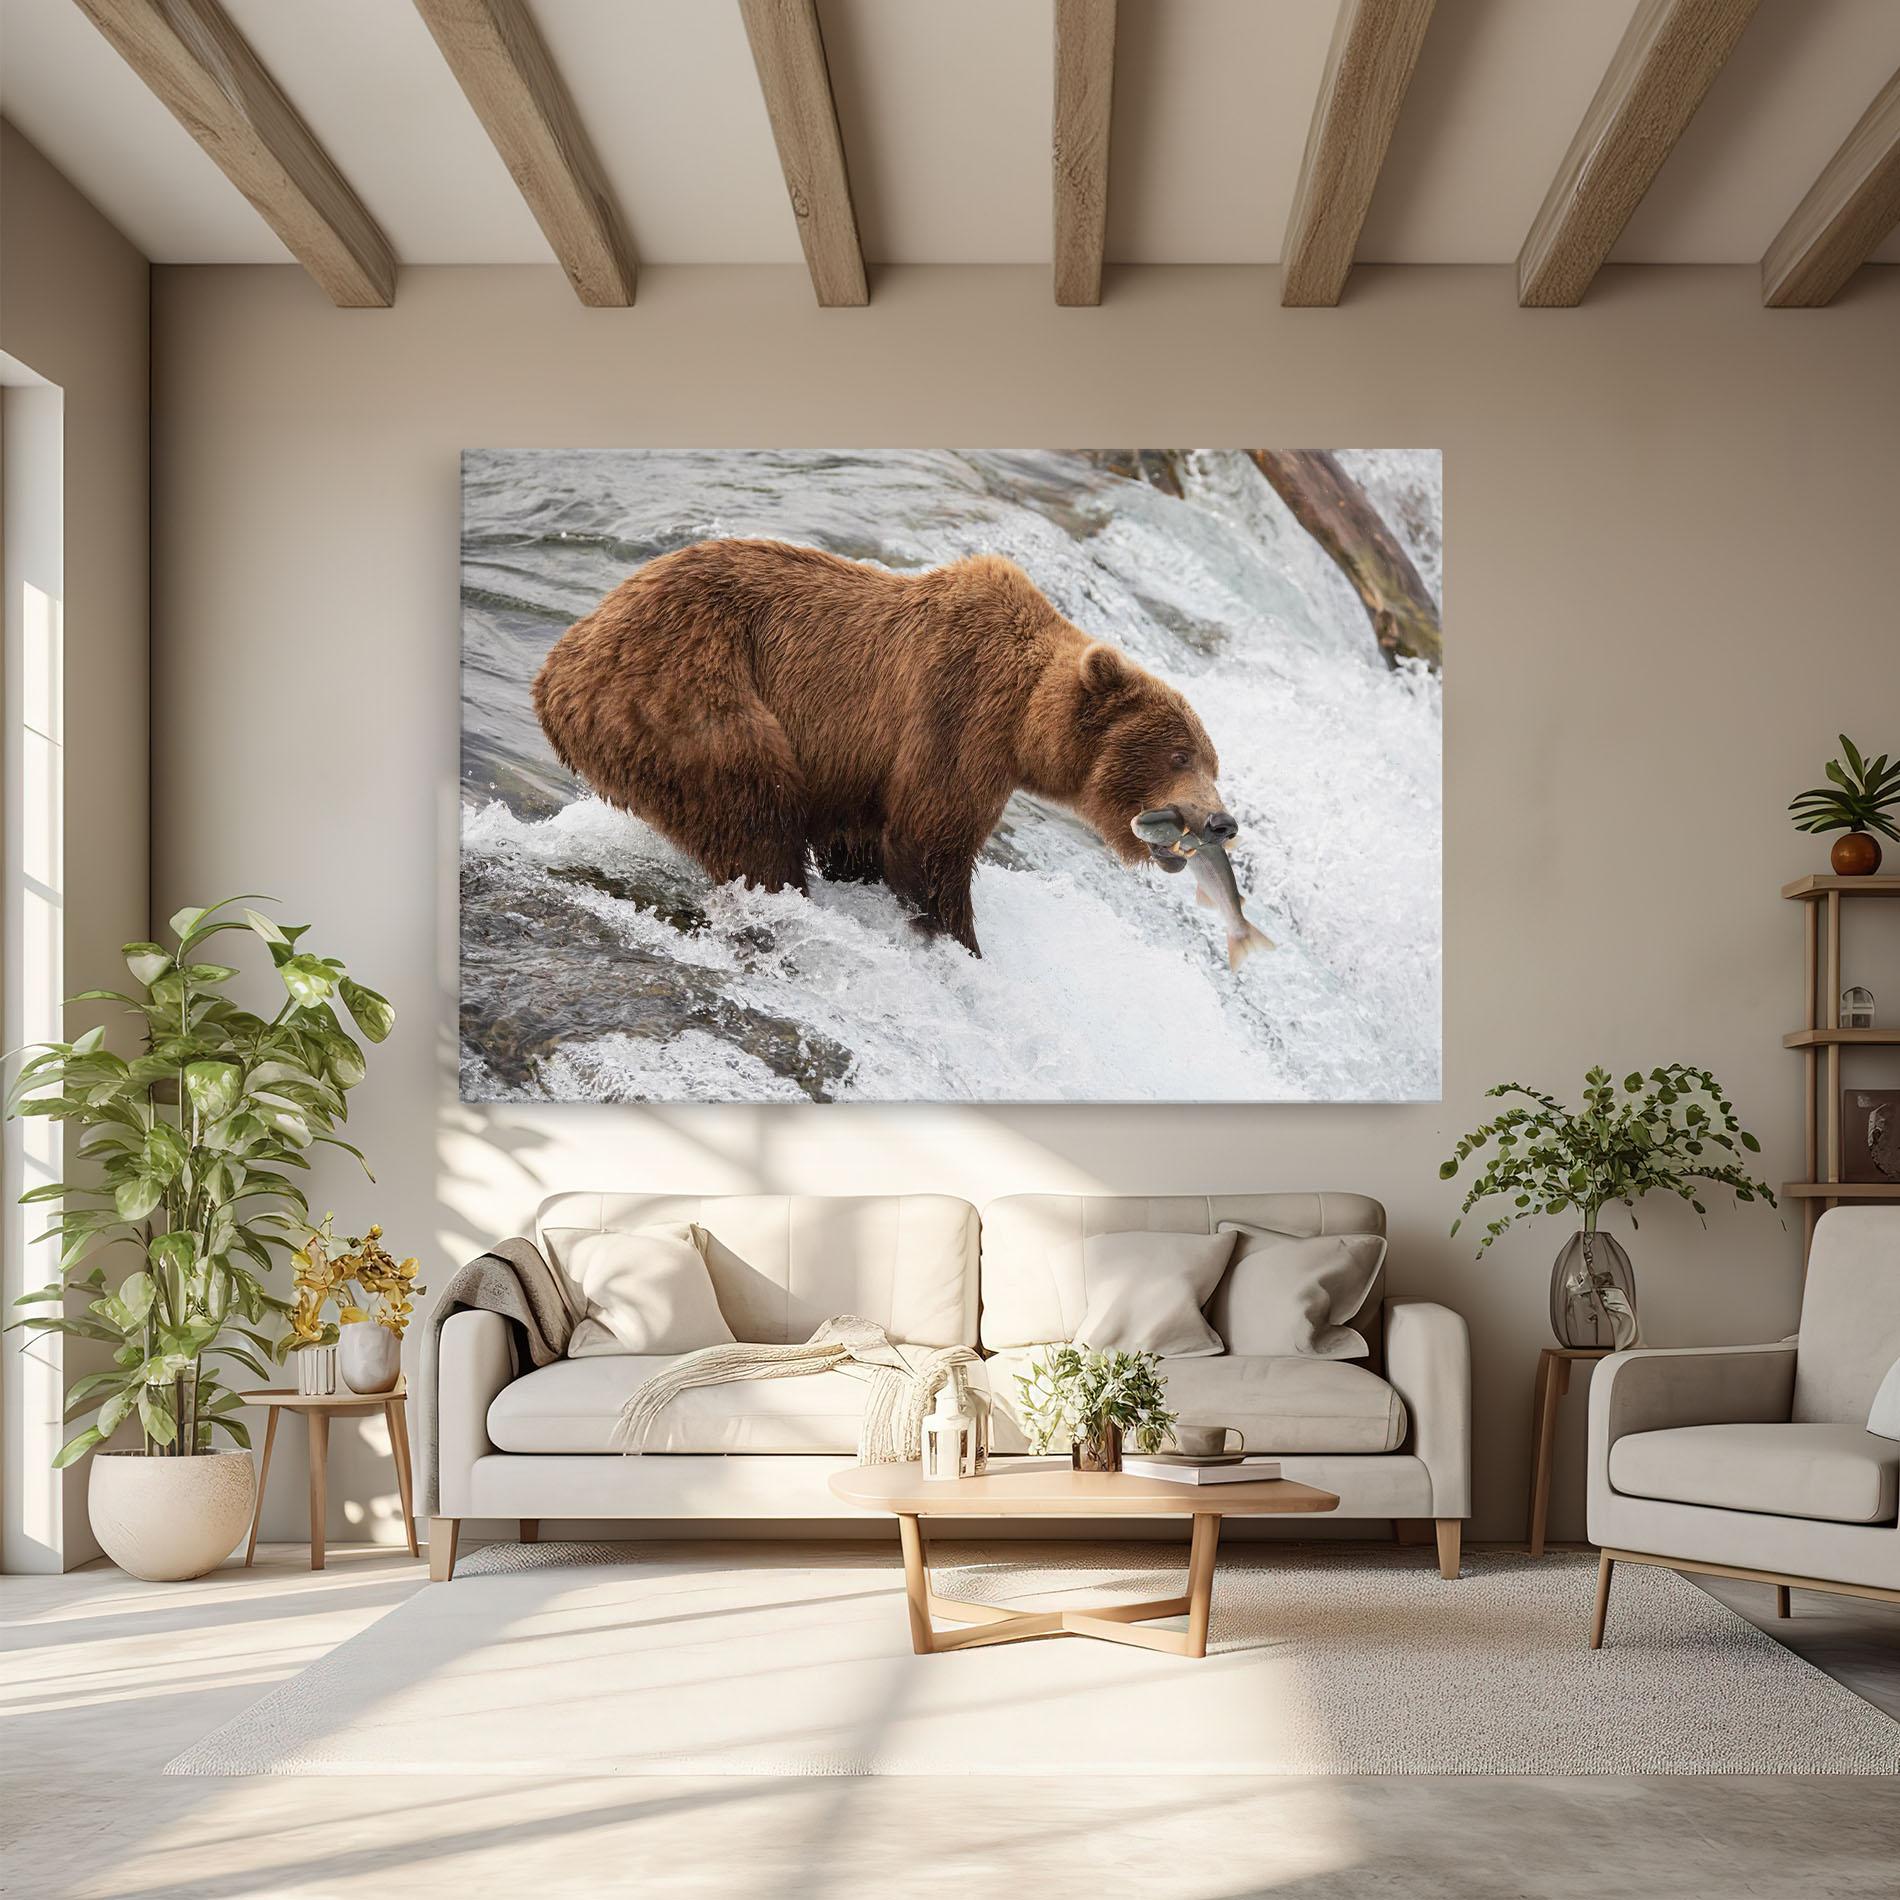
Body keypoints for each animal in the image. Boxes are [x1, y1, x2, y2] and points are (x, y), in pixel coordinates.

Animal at [532, 538, 1238, 957]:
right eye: (1180, 755)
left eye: (1213, 761)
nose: (1221, 822)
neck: (1023, 722)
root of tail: (558, 665)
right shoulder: (955, 715)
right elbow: (929, 844)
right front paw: (959, 942)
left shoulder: (860, 768)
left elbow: (864, 840)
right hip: (688, 695)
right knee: (753, 813)